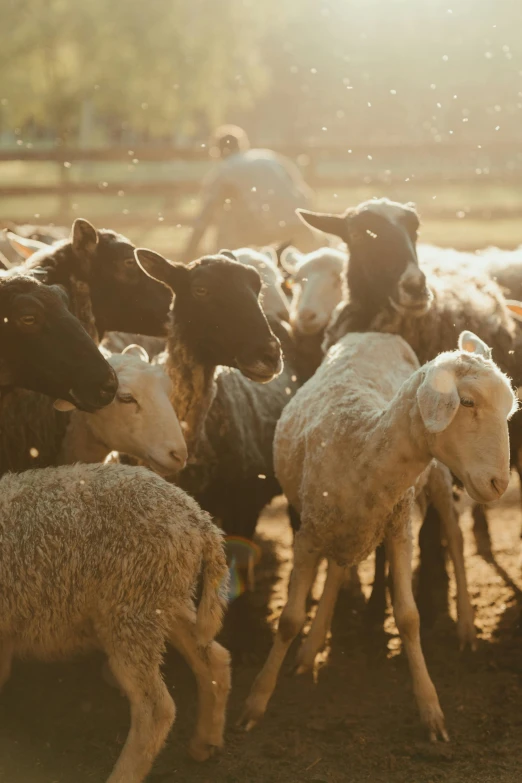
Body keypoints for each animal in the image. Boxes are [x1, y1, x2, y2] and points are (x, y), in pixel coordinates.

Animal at [0, 462, 230, 780]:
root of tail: (199, 520)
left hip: (130, 609)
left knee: (156, 709)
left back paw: (122, 774)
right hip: (161, 600)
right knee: (213, 658)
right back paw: (204, 743)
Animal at [241, 330, 516, 740]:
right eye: (466, 402)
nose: (499, 484)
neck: (364, 449)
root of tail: (376, 333)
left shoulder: (401, 532)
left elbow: (408, 618)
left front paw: (431, 709)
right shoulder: (308, 534)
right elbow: (289, 619)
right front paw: (256, 701)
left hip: (438, 478)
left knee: (454, 537)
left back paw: (467, 626)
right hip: (345, 524)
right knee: (338, 570)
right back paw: (310, 650)